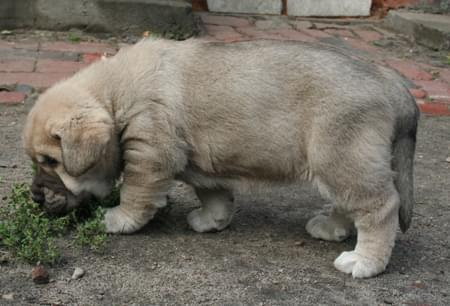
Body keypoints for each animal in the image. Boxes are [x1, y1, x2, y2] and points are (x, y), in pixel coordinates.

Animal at [23, 38, 418, 278]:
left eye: (51, 161)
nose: (36, 197)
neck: (114, 95)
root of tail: (389, 79)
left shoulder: (149, 155)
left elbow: (135, 193)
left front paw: (118, 219)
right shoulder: (201, 166)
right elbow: (214, 194)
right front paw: (212, 220)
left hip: (342, 156)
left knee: (380, 207)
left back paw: (365, 260)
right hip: (340, 162)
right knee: (349, 203)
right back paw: (333, 229)